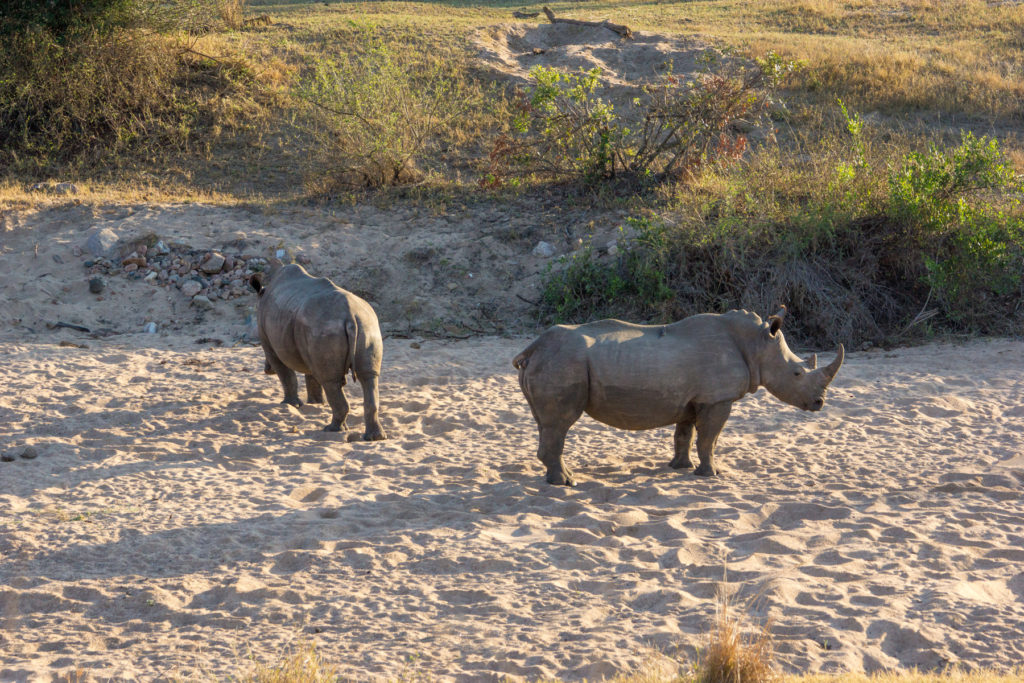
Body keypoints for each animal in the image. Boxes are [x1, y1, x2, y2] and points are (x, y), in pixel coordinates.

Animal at [251, 264, 387, 440]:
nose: (267, 370)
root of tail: (350, 316)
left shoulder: (268, 341)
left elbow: (286, 375)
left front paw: (289, 404)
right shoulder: (308, 343)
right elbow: (312, 375)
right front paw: (315, 403)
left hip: (325, 327)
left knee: (330, 380)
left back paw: (332, 429)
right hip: (366, 326)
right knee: (369, 377)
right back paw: (374, 437)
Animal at [512, 309, 839, 485]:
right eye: (797, 373)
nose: (820, 404)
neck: (757, 345)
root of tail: (532, 348)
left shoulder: (693, 400)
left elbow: (685, 435)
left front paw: (679, 467)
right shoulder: (717, 399)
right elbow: (709, 439)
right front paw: (711, 474)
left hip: (554, 361)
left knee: (547, 424)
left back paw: (559, 478)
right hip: (563, 362)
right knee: (560, 424)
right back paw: (566, 483)